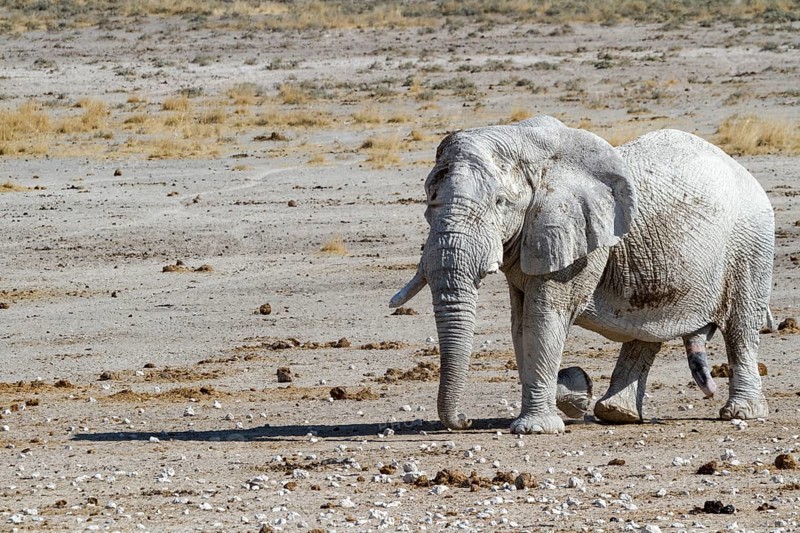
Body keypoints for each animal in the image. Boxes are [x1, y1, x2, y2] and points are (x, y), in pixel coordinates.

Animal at [390, 116, 774, 434]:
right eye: (428, 201)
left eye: (501, 202)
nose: (465, 421)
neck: (522, 143)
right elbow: (521, 323)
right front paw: (574, 392)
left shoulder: (576, 235)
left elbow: (543, 317)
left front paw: (537, 428)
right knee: (649, 329)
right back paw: (616, 413)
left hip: (751, 243)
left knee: (740, 327)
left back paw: (741, 413)